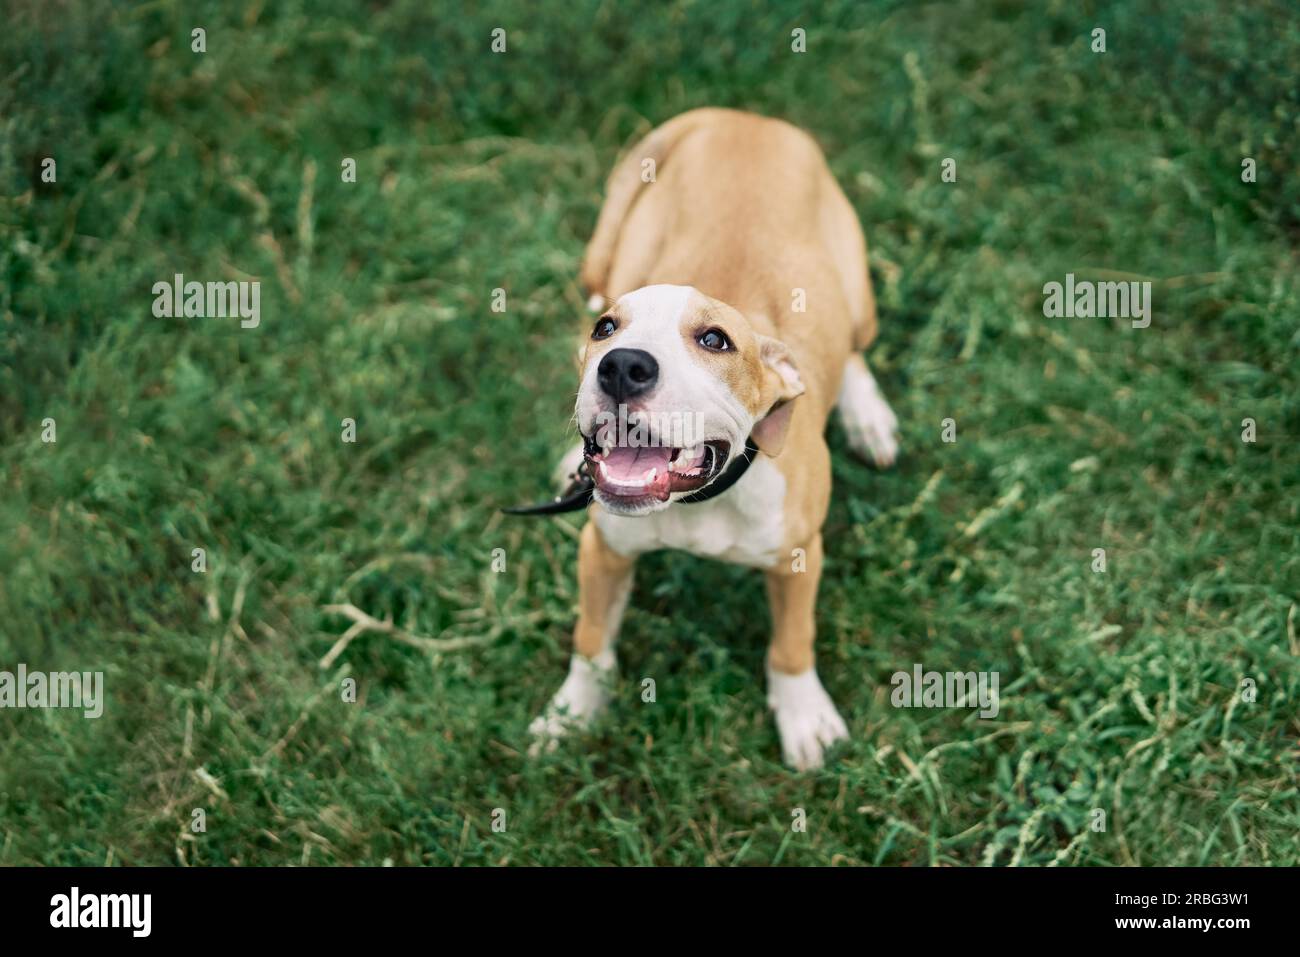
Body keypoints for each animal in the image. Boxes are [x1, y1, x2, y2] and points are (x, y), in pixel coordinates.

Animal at [522, 106, 899, 769]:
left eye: (715, 341)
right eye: (605, 330)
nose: (622, 366)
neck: (701, 501)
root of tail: (743, 116)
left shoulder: (800, 556)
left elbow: (792, 642)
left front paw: (805, 716)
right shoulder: (603, 548)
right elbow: (591, 639)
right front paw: (571, 715)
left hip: (857, 291)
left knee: (855, 349)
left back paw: (867, 416)